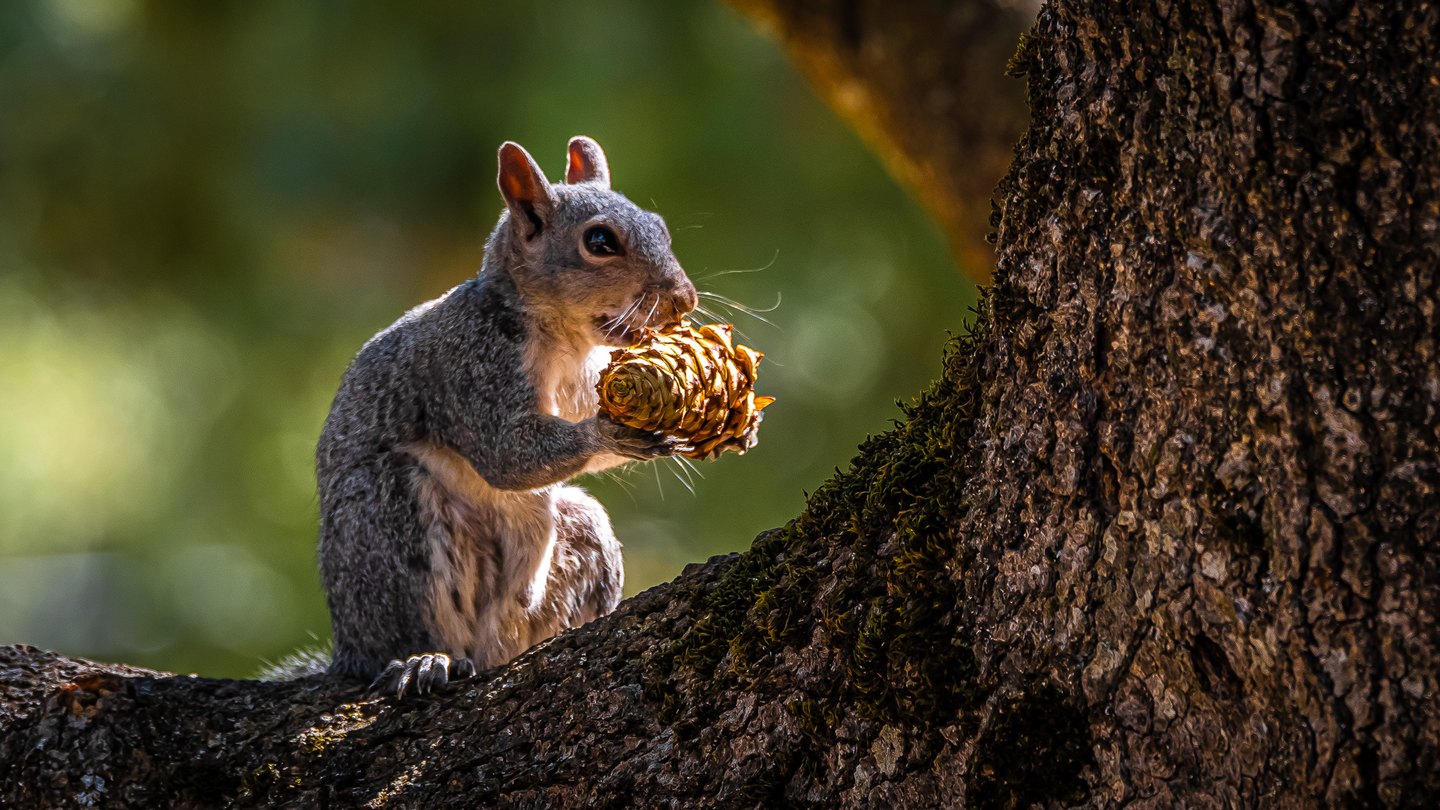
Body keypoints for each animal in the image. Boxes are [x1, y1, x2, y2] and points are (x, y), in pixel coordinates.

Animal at [309, 136, 696, 697]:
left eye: (661, 227)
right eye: (600, 241)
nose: (684, 301)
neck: (564, 342)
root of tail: (347, 647)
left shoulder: (585, 379)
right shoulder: (470, 365)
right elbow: (506, 454)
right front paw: (609, 432)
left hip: (579, 537)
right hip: (387, 521)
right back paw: (422, 661)